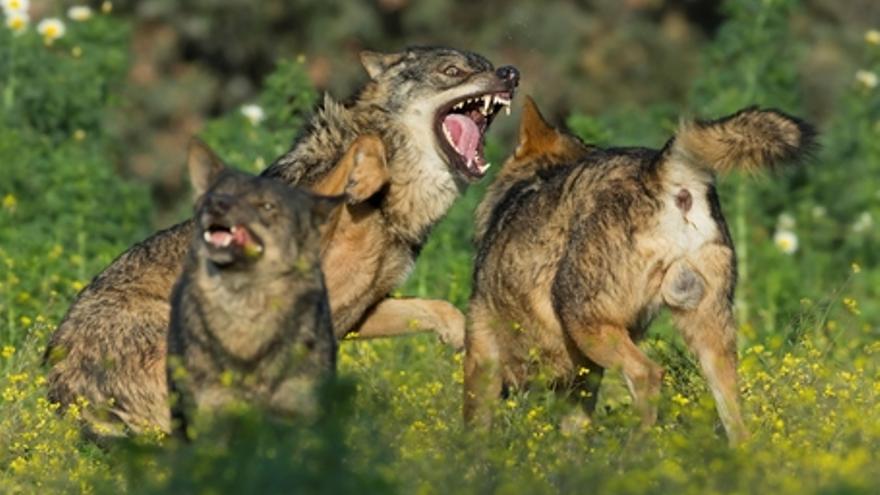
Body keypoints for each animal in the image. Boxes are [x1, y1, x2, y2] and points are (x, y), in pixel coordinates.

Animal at [464, 97, 816, 446]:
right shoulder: (583, 377)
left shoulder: (482, 359)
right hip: (708, 339)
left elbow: (475, 429)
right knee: (736, 421)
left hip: (586, 322)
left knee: (648, 374)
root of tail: (659, 168)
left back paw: (633, 451)